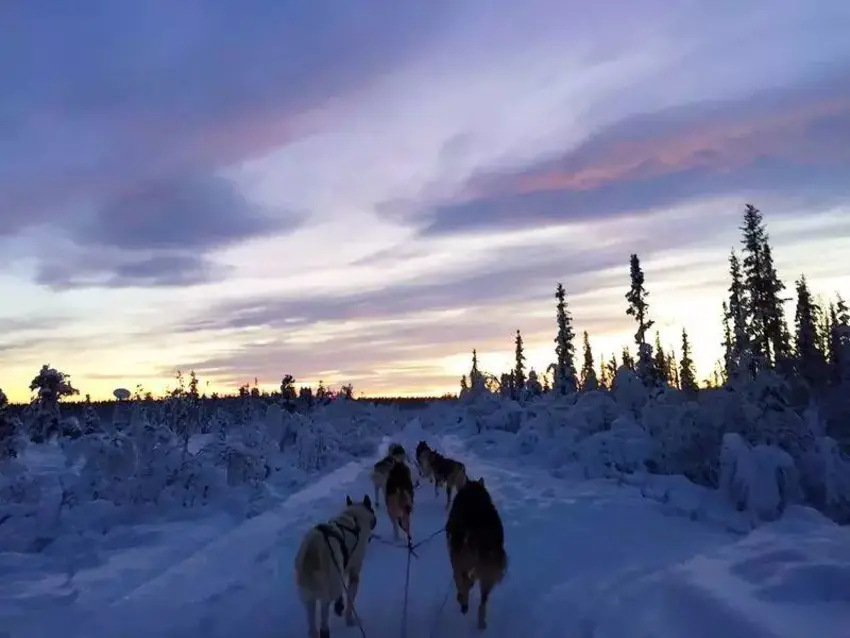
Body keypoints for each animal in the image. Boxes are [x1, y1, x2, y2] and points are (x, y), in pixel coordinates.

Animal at [294, 496, 376, 638]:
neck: (353, 516)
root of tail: (311, 554)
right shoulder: (353, 574)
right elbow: (350, 601)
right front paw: (349, 620)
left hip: (309, 598)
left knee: (312, 628)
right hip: (330, 589)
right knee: (324, 621)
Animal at [444, 478, 504, 632]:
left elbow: (461, 580)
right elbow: (471, 579)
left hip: (460, 559)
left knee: (462, 581)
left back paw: (463, 603)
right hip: (489, 570)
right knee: (483, 600)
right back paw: (481, 623)